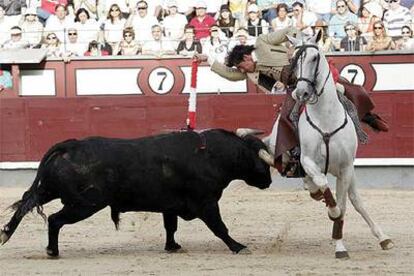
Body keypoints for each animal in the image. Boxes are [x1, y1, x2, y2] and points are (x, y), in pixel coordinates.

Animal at [0, 129, 274, 256]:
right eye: (261, 163)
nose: (269, 182)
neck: (213, 156)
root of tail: (71, 145)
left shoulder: (170, 206)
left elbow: (170, 227)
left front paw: (172, 246)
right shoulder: (206, 203)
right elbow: (220, 227)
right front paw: (238, 247)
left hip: (50, 189)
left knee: (25, 203)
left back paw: (6, 234)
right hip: (84, 204)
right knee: (55, 219)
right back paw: (52, 251)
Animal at [276, 32, 392, 258]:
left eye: (314, 58)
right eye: (293, 59)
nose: (301, 93)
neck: (325, 118)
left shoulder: (346, 167)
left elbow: (344, 204)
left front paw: (339, 245)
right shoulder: (307, 160)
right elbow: (324, 185)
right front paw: (332, 211)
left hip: (347, 171)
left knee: (356, 200)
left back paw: (384, 238)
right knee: (319, 186)